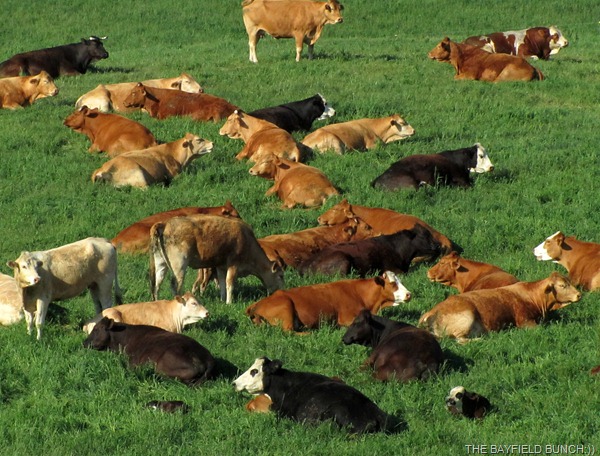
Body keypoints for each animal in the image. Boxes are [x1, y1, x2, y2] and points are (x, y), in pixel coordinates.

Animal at [149, 214, 284, 304]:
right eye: (280, 275)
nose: (281, 291)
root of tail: (164, 224)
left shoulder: (221, 266)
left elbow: (222, 282)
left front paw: (223, 300)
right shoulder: (234, 264)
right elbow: (229, 283)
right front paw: (229, 302)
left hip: (161, 262)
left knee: (157, 283)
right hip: (180, 264)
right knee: (175, 284)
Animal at [245, 271, 411, 332]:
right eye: (393, 284)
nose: (409, 294)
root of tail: (258, 304)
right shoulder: (347, 318)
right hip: (286, 307)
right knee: (288, 332)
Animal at [418, 272, 581, 343]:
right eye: (562, 285)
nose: (579, 295)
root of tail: (432, 311)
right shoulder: (524, 321)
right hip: (466, 317)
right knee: (461, 340)